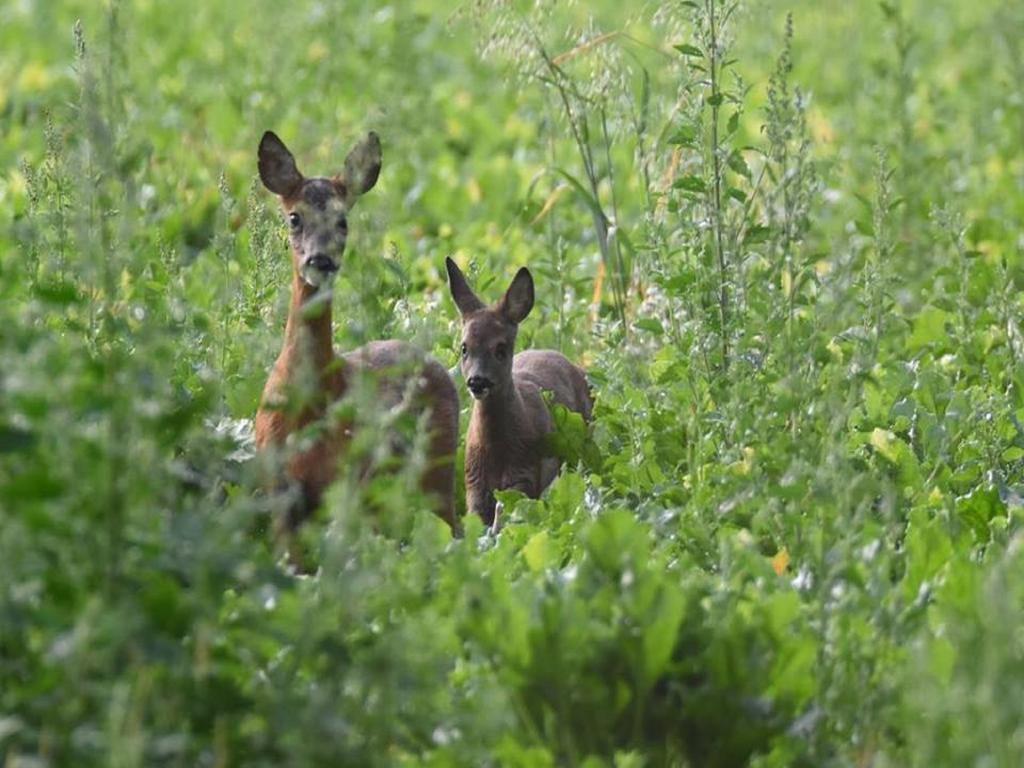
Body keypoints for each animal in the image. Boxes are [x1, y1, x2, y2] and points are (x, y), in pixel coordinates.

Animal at [256, 131, 460, 536]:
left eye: (342, 221)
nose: (320, 260)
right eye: (294, 217)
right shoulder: (278, 490)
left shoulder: (344, 483)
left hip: (436, 472)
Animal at [446, 259, 593, 528]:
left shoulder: (524, 476)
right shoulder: (473, 485)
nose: (477, 381)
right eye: (464, 348)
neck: (496, 451)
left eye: (501, 348)